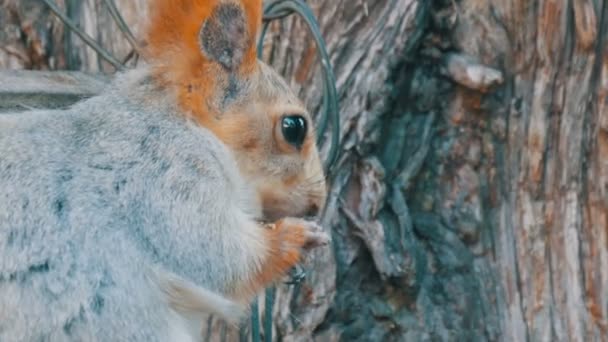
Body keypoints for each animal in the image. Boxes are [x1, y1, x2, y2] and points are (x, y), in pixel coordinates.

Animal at [0, 0, 330, 342]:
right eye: (294, 127)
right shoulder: (164, 172)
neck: (188, 123)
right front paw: (296, 237)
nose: (317, 204)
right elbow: (217, 254)